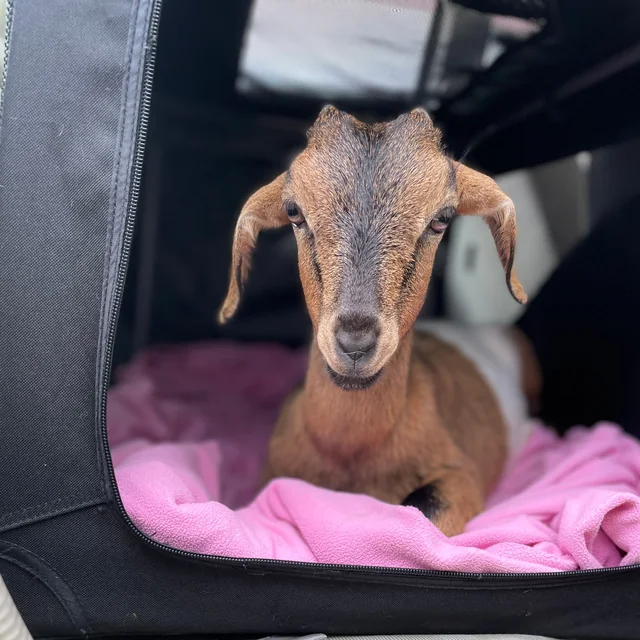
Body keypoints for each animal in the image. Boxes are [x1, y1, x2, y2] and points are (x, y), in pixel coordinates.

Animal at [218, 106, 541, 536]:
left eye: (442, 217)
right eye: (293, 211)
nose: (355, 342)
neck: (352, 451)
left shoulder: (459, 473)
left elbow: (422, 511)